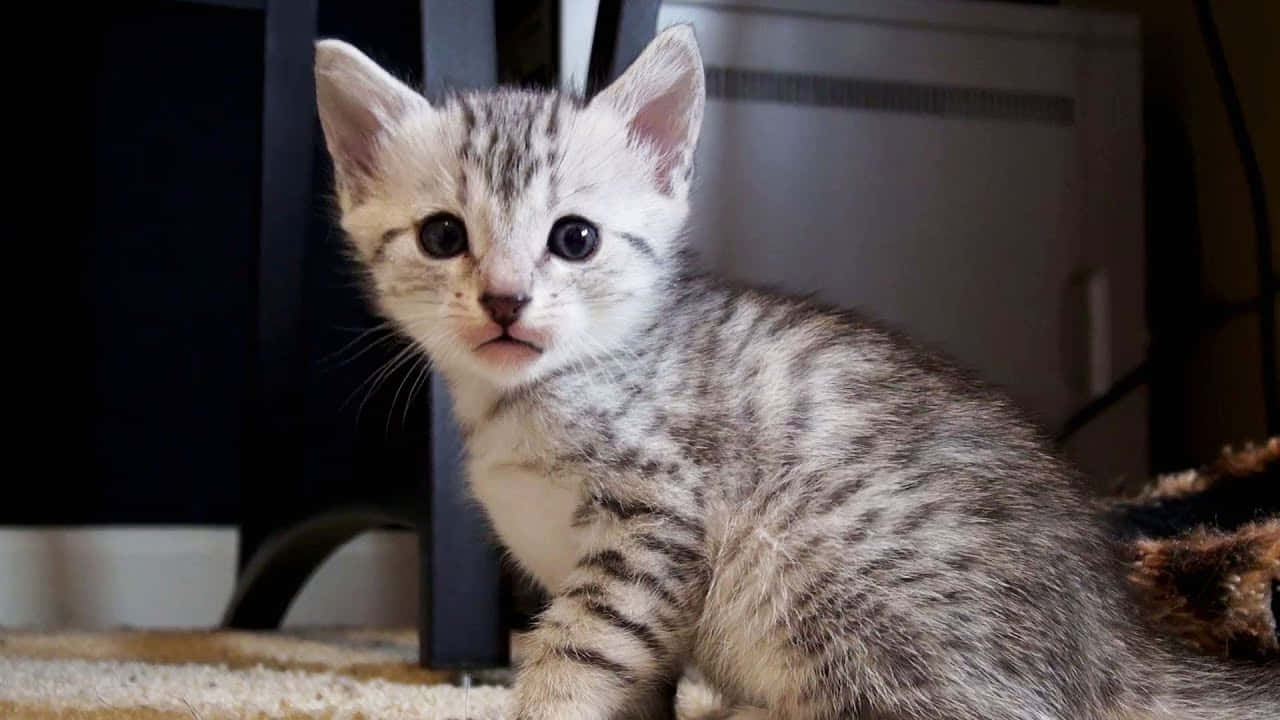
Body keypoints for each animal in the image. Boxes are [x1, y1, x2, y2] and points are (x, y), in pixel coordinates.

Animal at [312, 23, 1280, 717]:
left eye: (574, 238)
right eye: (443, 235)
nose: (505, 301)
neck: (540, 396)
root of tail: (1115, 643)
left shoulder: (659, 517)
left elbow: (578, 657)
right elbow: (633, 678)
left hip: (826, 587)